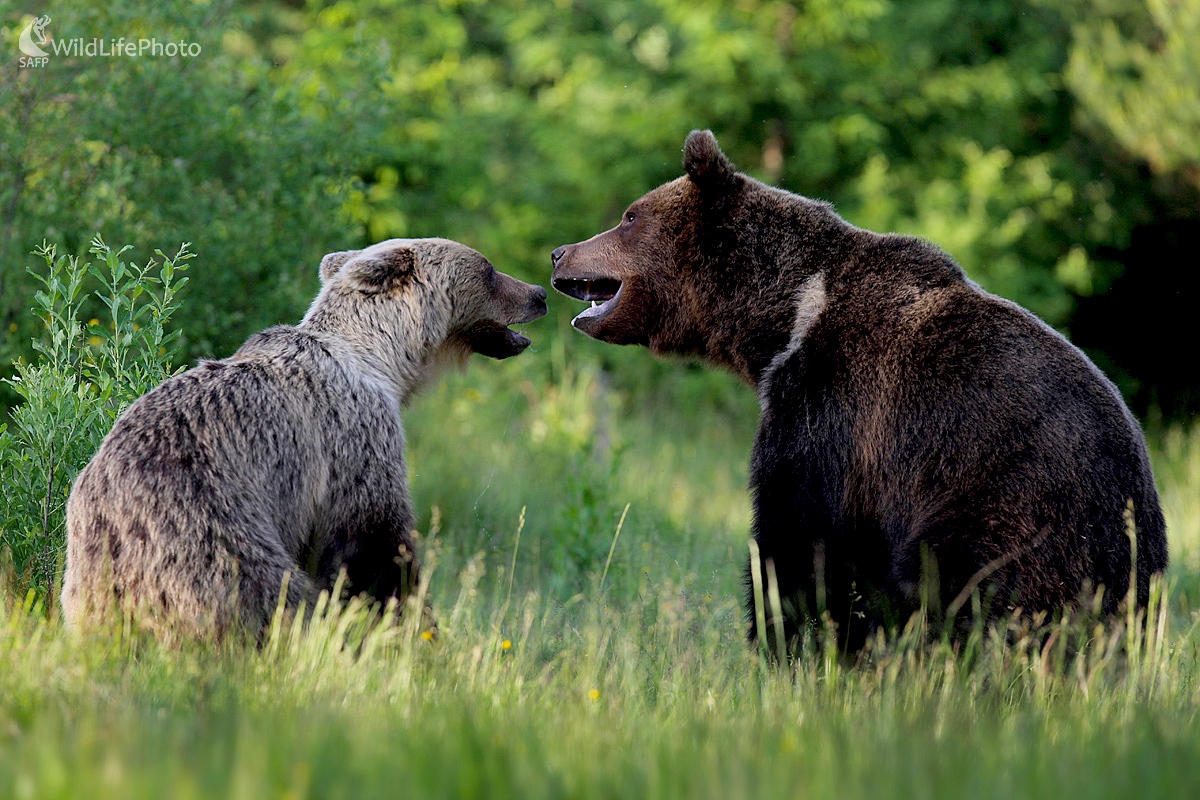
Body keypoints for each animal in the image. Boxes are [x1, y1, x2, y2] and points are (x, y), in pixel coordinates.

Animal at [63, 239, 547, 642]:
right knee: (271, 598)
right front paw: (412, 624)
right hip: (212, 528)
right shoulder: (353, 438)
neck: (383, 361)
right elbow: (373, 544)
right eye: (489, 270)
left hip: (90, 572)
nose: (539, 293)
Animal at [554, 126, 1171, 652]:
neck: (786, 318)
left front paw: (784, 641)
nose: (561, 251)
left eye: (630, 216)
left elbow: (799, 534)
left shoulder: (834, 404)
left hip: (1012, 504)